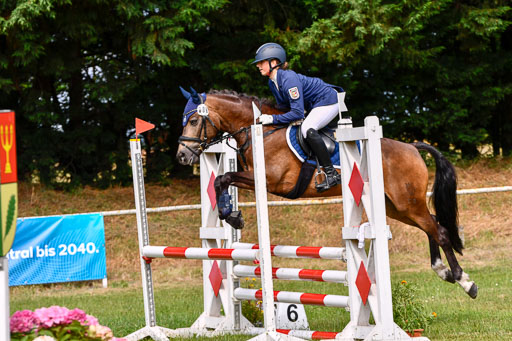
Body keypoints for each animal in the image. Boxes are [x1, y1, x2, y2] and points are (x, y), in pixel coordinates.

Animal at [178, 87, 478, 298]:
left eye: (193, 120)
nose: (182, 155)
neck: (259, 132)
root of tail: (413, 147)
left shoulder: (270, 181)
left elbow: (224, 178)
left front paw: (234, 217)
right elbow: (220, 181)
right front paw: (232, 216)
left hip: (407, 203)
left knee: (439, 230)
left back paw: (464, 280)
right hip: (397, 206)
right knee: (432, 226)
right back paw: (442, 270)